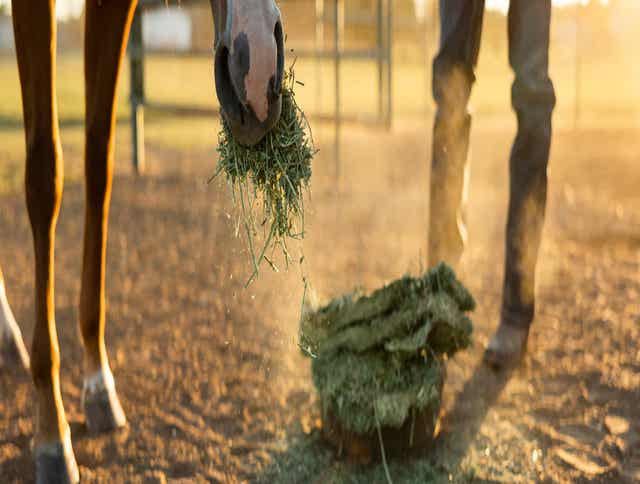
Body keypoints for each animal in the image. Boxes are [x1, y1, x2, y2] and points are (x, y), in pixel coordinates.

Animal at [0, 1, 284, 482]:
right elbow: (45, 176)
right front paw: (52, 432)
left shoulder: (114, 9)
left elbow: (99, 162)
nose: (259, 70)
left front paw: (98, 385)